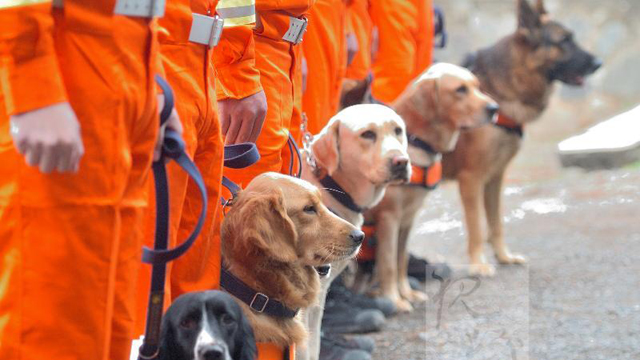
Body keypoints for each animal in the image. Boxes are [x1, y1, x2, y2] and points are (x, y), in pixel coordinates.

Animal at [442, 0, 604, 276]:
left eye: (572, 38)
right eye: (564, 40)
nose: (599, 63)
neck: (495, 89)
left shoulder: (493, 178)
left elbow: (496, 223)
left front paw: (503, 256)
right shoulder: (471, 180)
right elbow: (476, 228)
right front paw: (478, 265)